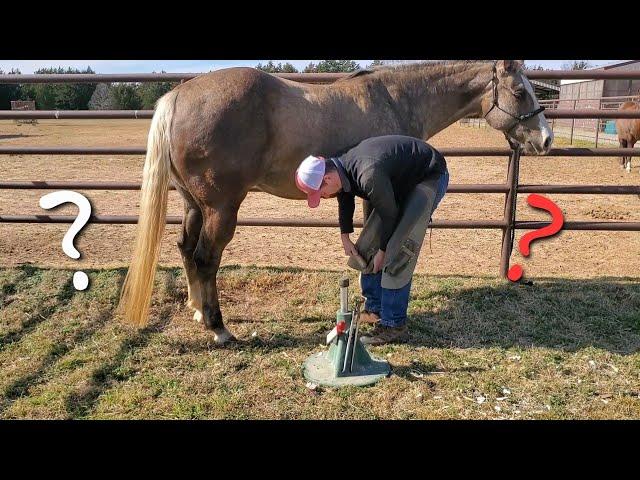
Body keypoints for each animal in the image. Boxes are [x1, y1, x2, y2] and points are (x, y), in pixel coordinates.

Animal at [119, 60, 556, 344]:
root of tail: (178, 95)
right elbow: (379, 244)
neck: (396, 98)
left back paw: (196, 308)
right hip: (221, 209)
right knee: (206, 258)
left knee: (186, 250)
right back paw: (219, 329)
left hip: (194, 205)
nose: (546, 139)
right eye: (520, 91)